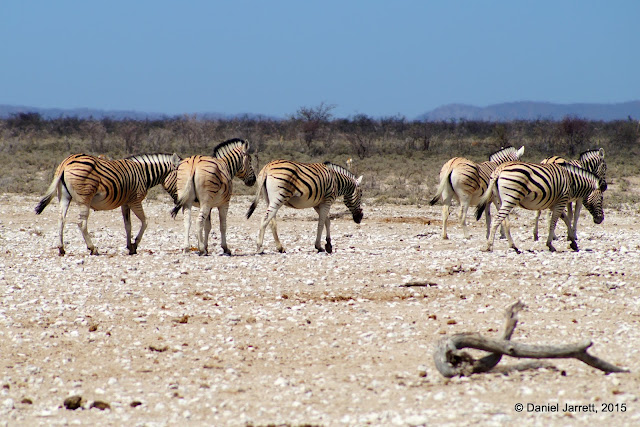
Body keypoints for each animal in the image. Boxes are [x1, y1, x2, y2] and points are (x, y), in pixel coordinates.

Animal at [34, 152, 180, 256]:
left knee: (61, 220)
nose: (179, 203)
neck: (143, 174)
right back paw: (93, 249)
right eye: (180, 178)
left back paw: (61, 249)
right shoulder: (135, 200)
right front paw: (135, 244)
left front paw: (130, 247)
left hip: (64, 197)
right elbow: (145, 222)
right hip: (84, 199)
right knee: (81, 223)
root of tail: (66, 162)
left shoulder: (125, 203)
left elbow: (128, 225)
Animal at [476, 162, 604, 252]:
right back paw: (489, 246)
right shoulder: (561, 202)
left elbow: (566, 220)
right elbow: (554, 223)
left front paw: (573, 243)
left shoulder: (555, 204)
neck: (572, 181)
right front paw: (550, 244)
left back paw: (513, 246)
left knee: (504, 221)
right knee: (497, 219)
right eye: (602, 198)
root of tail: (499, 169)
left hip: (499, 199)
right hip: (511, 197)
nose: (601, 219)